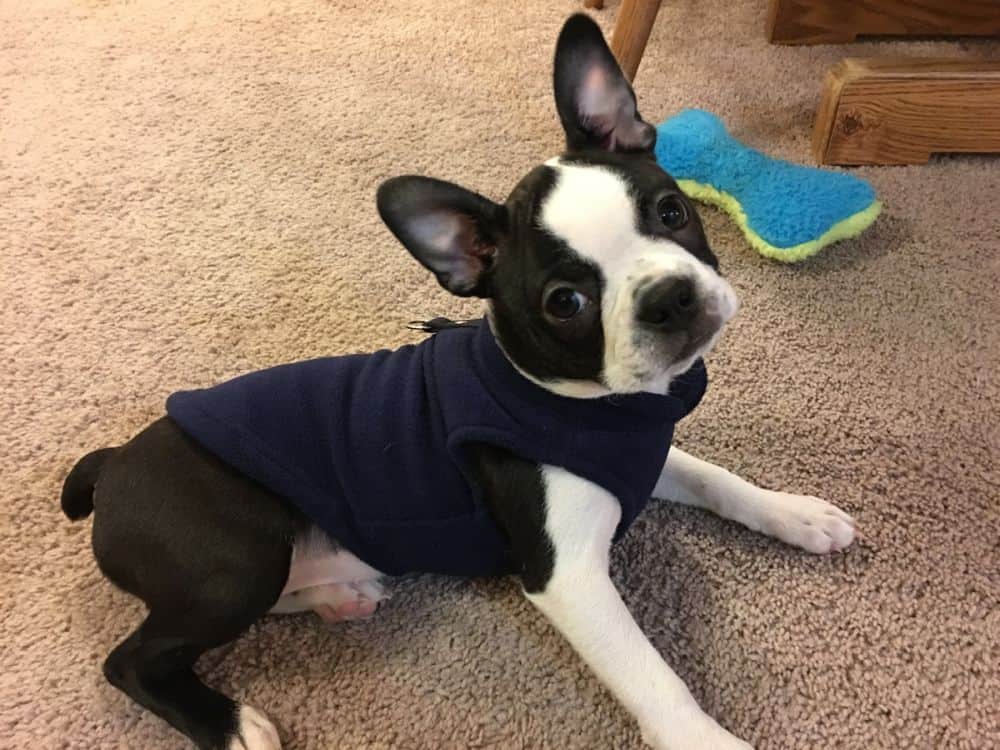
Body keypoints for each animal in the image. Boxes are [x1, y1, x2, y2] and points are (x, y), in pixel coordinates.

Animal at [62, 13, 856, 750]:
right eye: (565, 302)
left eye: (673, 211)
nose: (669, 298)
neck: (596, 405)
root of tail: (114, 463)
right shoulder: (569, 578)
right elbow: (652, 675)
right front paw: (704, 738)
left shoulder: (639, 455)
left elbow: (718, 479)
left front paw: (797, 515)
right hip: (234, 559)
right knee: (136, 659)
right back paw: (229, 725)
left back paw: (339, 593)